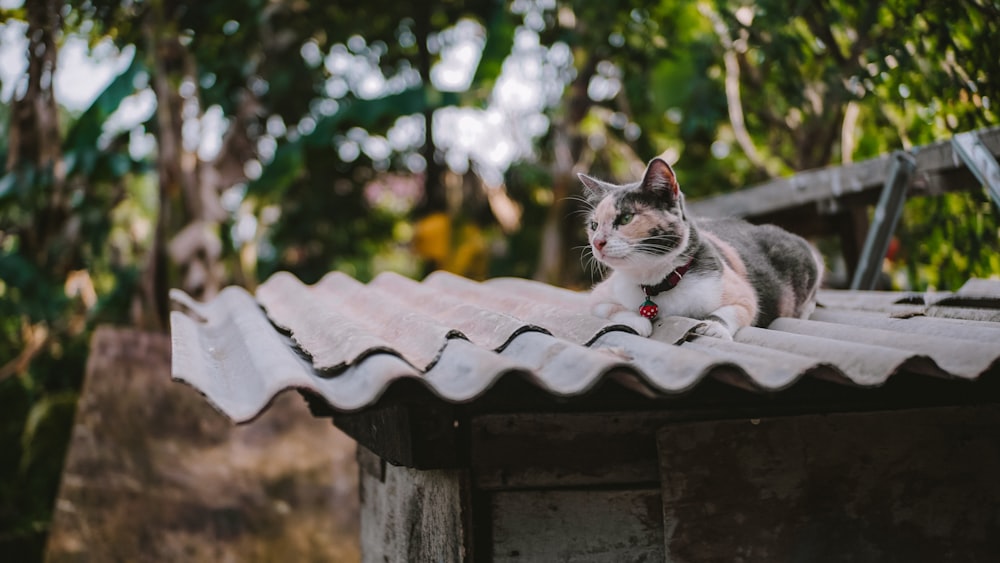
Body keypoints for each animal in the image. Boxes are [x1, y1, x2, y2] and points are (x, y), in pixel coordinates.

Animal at [584, 158, 824, 340]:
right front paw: (639, 322)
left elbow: (734, 310)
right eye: (594, 225)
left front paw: (713, 327)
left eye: (626, 218)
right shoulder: (598, 296)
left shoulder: (744, 295)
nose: (597, 242)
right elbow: (610, 308)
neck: (656, 283)